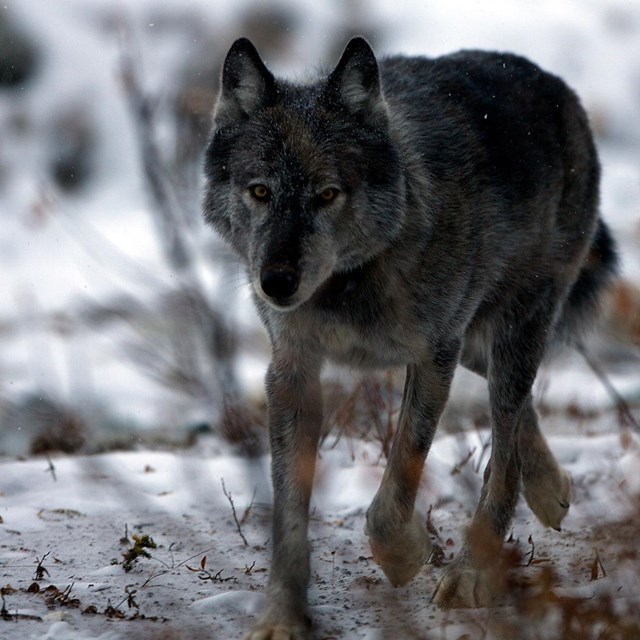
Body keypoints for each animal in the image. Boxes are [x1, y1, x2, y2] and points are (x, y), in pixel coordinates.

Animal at [202, 36, 616, 640]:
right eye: (259, 191)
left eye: (327, 194)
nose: (276, 282)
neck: (350, 283)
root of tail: (554, 84)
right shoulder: (292, 370)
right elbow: (288, 514)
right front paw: (282, 616)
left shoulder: (432, 355)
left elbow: (395, 486)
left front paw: (405, 557)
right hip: (477, 346)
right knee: (519, 420)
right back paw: (551, 489)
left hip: (508, 336)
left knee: (504, 446)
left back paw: (474, 571)